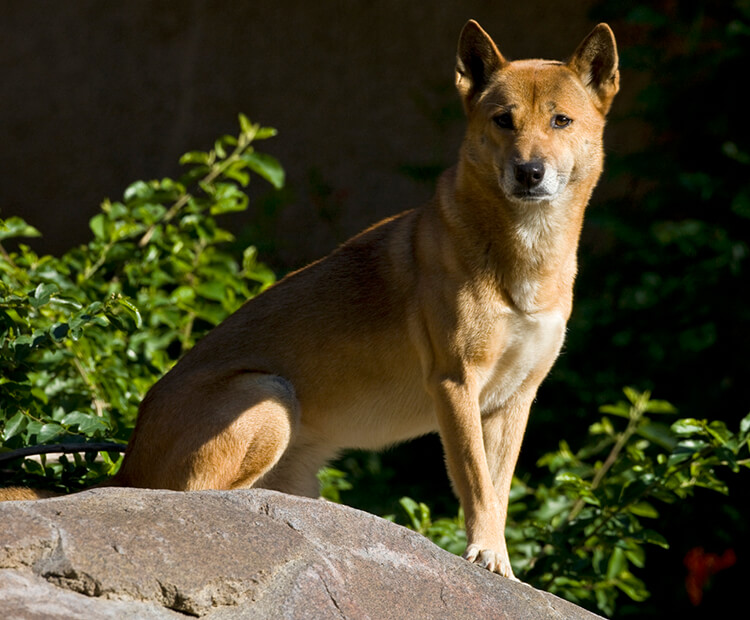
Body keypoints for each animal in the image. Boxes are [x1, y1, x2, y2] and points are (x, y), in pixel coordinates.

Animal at [4, 20, 624, 580]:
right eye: (503, 120)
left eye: (561, 120)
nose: (529, 171)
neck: (527, 257)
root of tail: (127, 462)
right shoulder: (455, 383)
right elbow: (475, 484)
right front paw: (488, 556)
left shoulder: (516, 397)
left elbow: (497, 489)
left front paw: (501, 564)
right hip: (268, 396)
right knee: (195, 497)